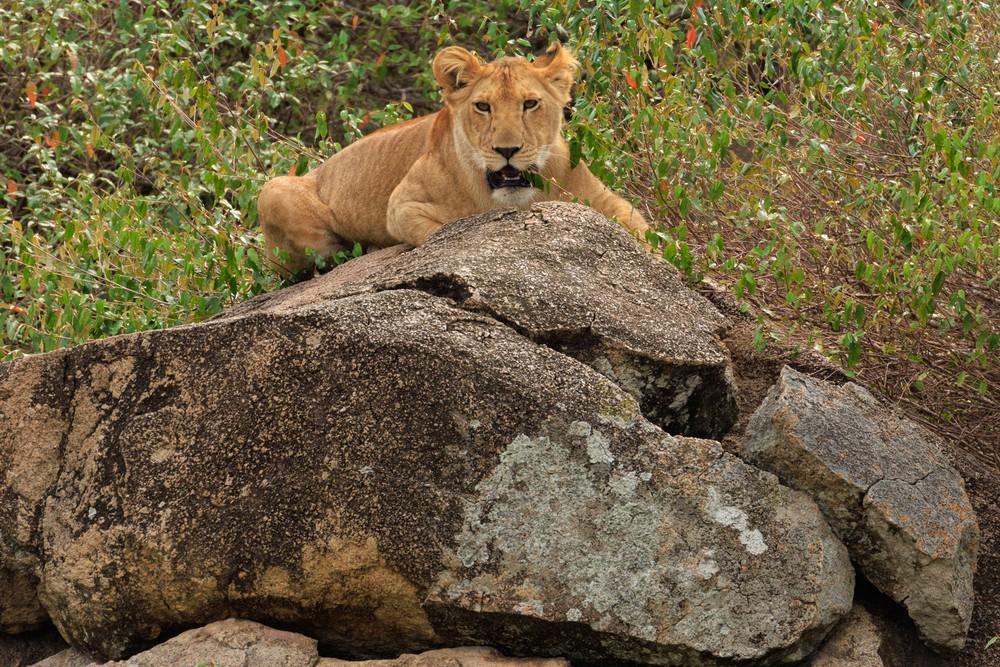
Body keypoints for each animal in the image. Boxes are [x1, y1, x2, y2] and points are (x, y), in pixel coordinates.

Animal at [257, 42, 648, 276]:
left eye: (530, 103)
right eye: (483, 106)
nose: (507, 150)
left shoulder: (604, 199)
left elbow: (641, 232)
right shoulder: (402, 204)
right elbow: (444, 232)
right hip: (273, 189)